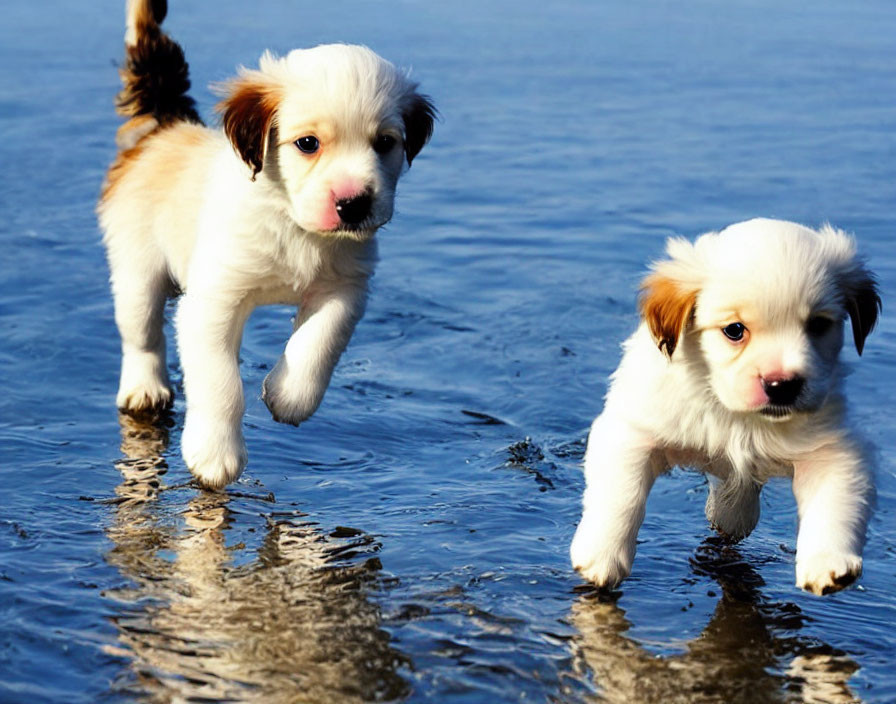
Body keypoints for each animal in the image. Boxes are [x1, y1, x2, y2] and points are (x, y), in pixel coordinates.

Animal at [98, 1, 434, 490]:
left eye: (385, 143)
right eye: (308, 144)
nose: (354, 203)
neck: (294, 226)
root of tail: (164, 130)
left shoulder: (344, 290)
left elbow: (318, 345)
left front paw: (288, 396)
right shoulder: (213, 301)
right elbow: (220, 382)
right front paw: (214, 453)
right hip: (136, 269)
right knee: (141, 334)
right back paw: (144, 387)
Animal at [572, 219, 880, 592]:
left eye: (818, 325)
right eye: (734, 330)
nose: (782, 385)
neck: (736, 417)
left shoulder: (834, 450)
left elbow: (835, 503)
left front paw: (829, 564)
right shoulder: (632, 431)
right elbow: (621, 494)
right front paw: (601, 555)